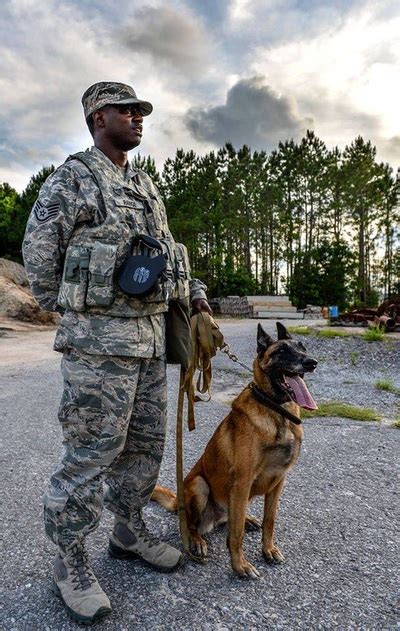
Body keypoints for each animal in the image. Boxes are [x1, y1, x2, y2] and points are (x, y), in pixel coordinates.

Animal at [153, 324, 318, 580]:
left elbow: (269, 520)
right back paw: (197, 541)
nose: (312, 362)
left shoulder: (278, 481)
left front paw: (268, 549)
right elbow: (236, 534)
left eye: (303, 347)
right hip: (199, 485)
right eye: (281, 350)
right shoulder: (242, 481)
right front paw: (240, 565)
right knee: (192, 526)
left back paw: (248, 519)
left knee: (231, 518)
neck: (276, 410)